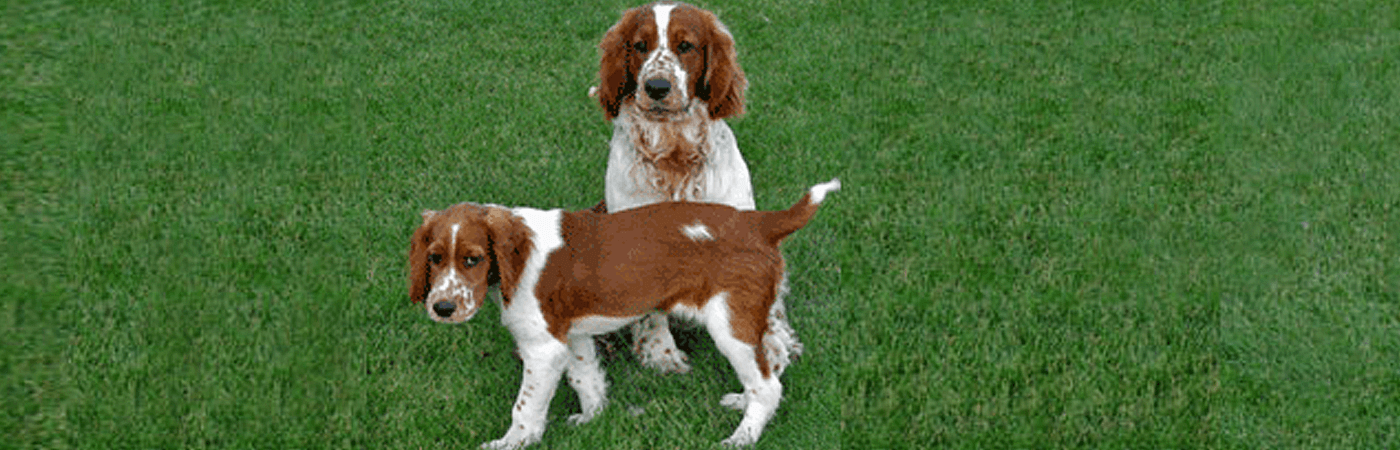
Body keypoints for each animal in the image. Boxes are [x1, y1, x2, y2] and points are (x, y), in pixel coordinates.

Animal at [408, 178, 840, 445]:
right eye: (434, 258)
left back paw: (742, 437)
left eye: (473, 259)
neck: (520, 258)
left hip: (730, 321)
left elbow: (525, 405)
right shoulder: (572, 334)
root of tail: (759, 223)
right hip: (751, 315)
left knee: (767, 385)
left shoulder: (542, 347)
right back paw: (742, 401)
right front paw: (592, 418)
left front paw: (511, 442)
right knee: (774, 360)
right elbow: (585, 377)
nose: (442, 308)